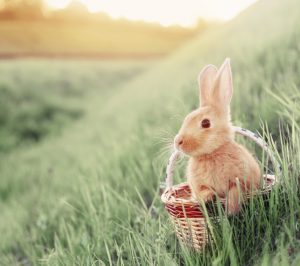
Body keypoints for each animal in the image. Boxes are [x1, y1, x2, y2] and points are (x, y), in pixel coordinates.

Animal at [175, 59, 262, 215]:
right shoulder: (198, 186)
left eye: (205, 123)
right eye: (186, 118)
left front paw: (231, 210)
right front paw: (208, 199)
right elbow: (203, 191)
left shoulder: (242, 180)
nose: (178, 141)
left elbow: (235, 190)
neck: (211, 153)